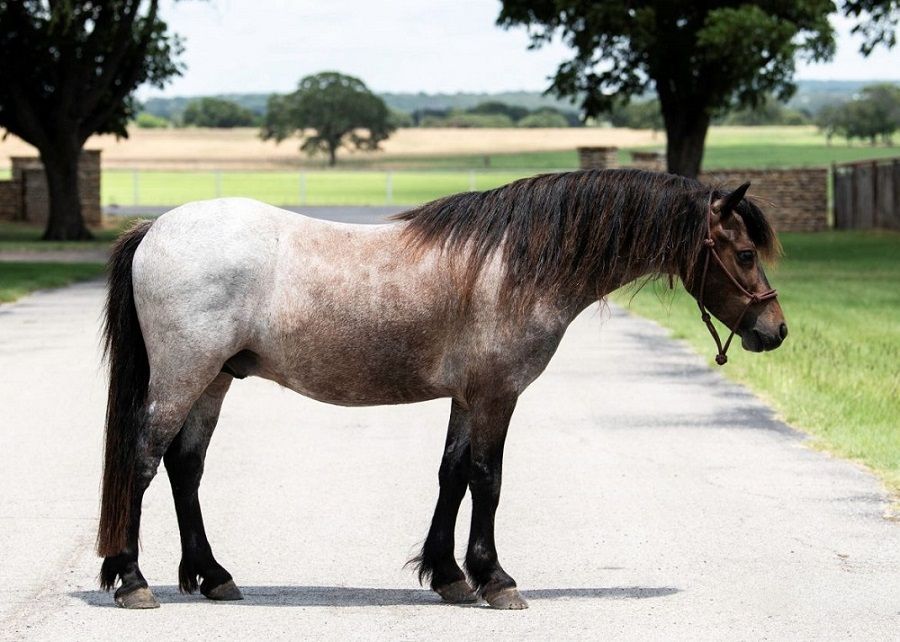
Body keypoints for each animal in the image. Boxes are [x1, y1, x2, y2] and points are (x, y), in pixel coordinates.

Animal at [96, 169, 787, 610]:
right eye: (745, 254)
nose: (775, 331)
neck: (517, 264)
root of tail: (155, 230)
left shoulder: (466, 396)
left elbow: (451, 475)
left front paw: (450, 575)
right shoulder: (497, 394)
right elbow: (488, 478)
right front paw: (495, 579)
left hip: (214, 381)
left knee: (185, 469)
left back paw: (212, 576)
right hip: (184, 377)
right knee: (143, 460)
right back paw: (132, 580)